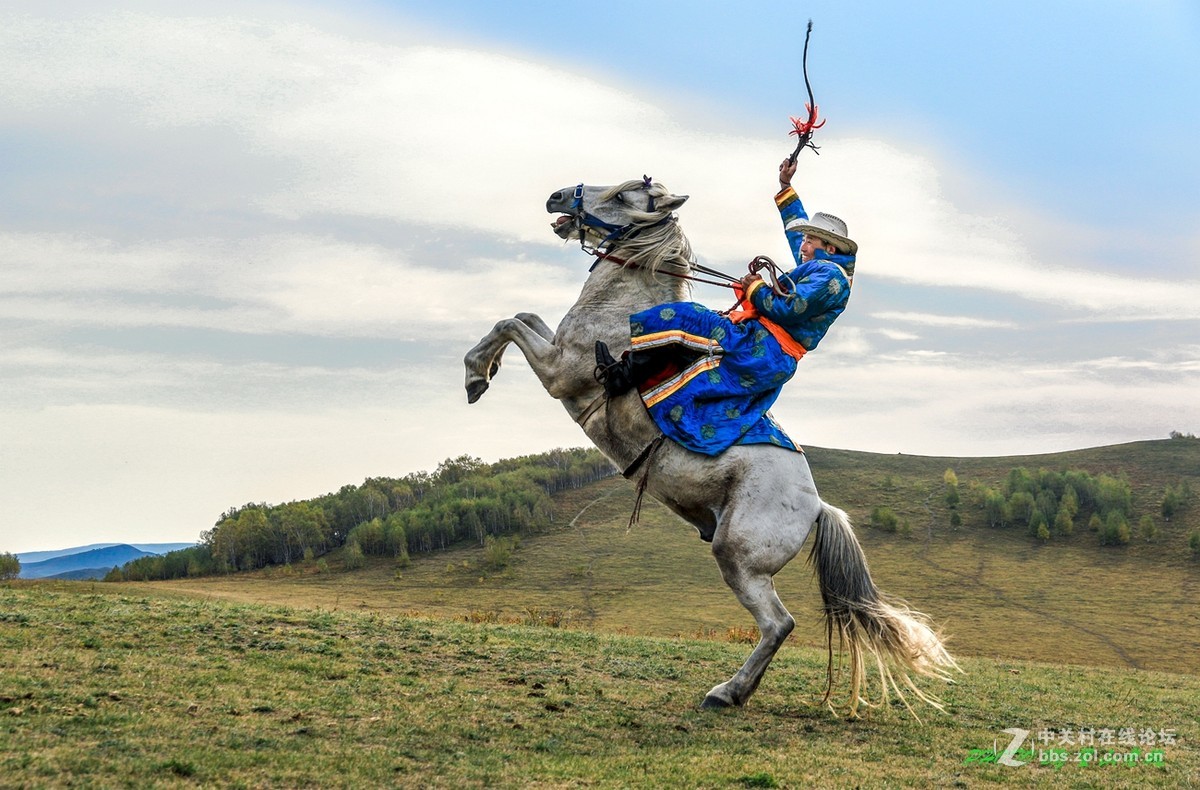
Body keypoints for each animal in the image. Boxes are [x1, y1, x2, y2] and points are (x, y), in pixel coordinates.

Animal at [460, 178, 955, 715]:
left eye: (621, 196)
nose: (556, 197)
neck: (620, 311)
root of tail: (818, 507)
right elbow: (522, 315)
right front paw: (482, 371)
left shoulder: (559, 373)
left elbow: (509, 322)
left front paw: (475, 374)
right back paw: (738, 692)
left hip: (738, 559)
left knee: (779, 623)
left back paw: (727, 691)